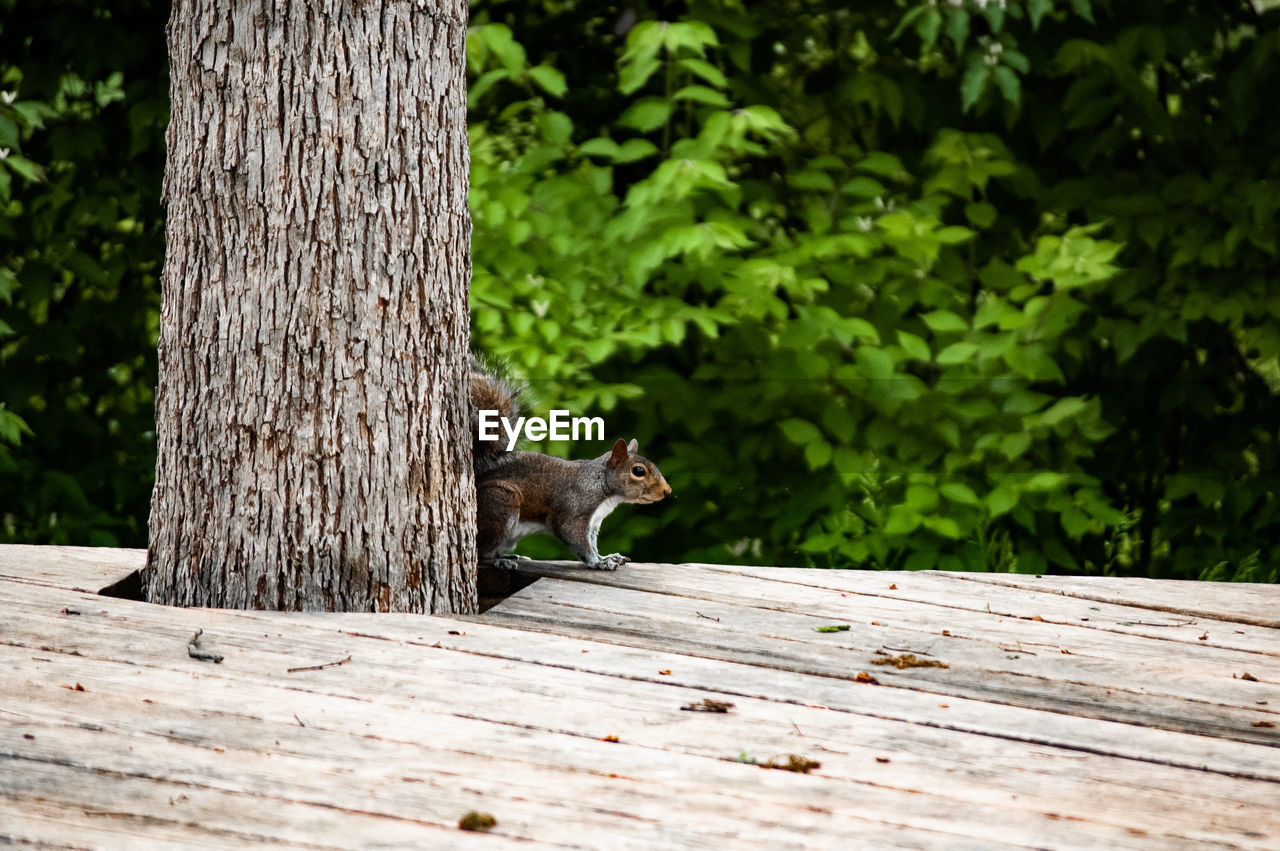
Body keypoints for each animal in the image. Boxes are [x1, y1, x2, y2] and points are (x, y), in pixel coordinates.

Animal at [468, 350, 670, 570]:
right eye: (639, 471)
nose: (666, 491)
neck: (602, 485)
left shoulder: (593, 523)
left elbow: (592, 544)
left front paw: (606, 557)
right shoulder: (574, 510)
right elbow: (577, 539)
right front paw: (599, 563)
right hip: (500, 503)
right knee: (481, 553)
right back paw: (499, 560)